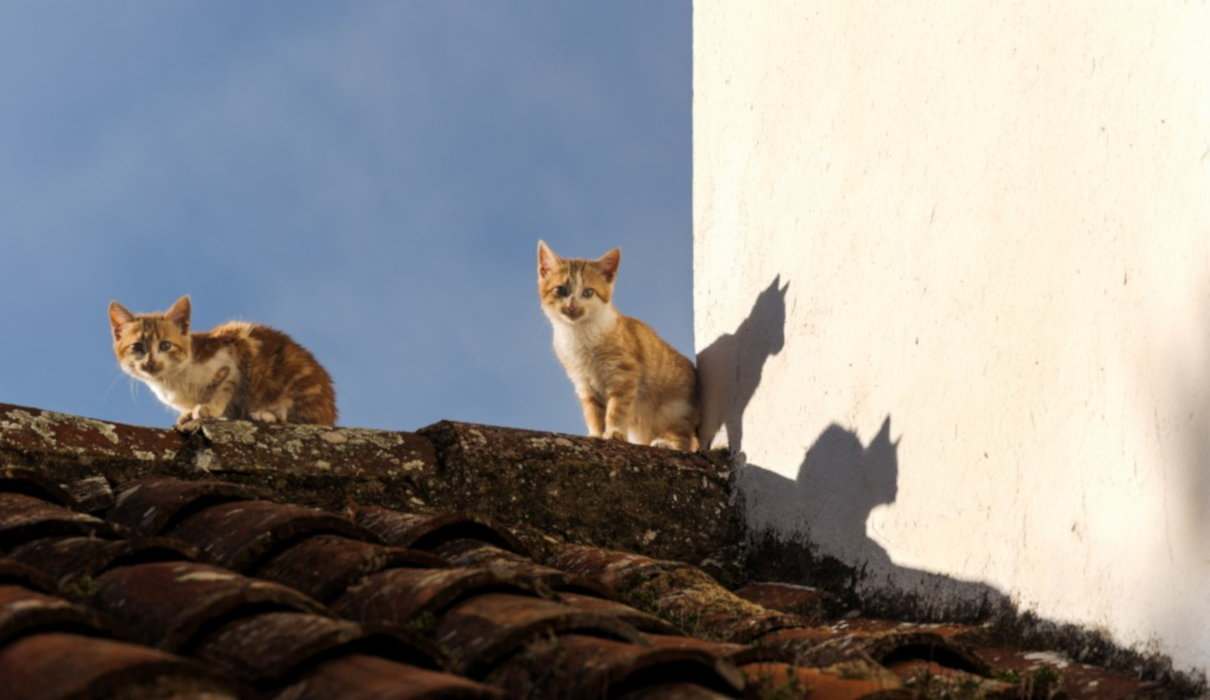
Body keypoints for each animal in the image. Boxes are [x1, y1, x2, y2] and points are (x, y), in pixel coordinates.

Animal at [107, 296, 338, 427]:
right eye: (137, 347)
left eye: (165, 345)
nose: (150, 362)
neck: (173, 381)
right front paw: (188, 413)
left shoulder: (231, 359)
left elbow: (223, 388)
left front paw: (209, 409)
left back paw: (266, 414)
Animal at [539, 239, 701, 449]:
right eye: (560, 290)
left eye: (588, 292)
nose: (572, 306)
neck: (579, 335)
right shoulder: (583, 383)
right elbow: (593, 412)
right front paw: (596, 434)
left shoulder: (624, 374)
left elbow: (617, 408)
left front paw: (614, 432)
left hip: (675, 408)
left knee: (684, 437)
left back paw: (665, 443)